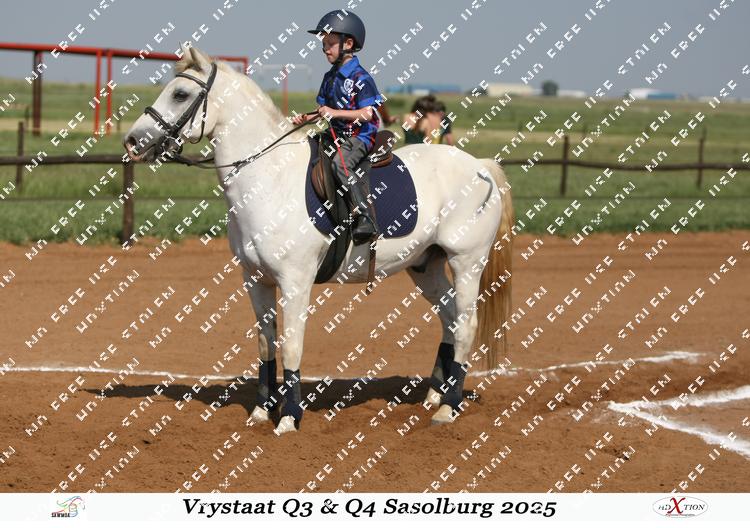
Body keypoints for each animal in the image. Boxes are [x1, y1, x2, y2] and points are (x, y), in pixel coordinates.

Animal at [123, 44, 514, 435]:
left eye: (180, 94)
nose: (132, 141)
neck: (269, 177)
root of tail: (479, 166)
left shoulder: (295, 283)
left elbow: (291, 347)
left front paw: (289, 418)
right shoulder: (256, 280)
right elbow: (265, 345)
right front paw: (262, 411)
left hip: (466, 263)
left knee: (466, 326)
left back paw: (448, 407)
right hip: (425, 267)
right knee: (449, 319)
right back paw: (434, 394)